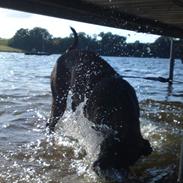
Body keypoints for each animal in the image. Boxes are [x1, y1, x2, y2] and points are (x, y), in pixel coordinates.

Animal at [46, 27, 152, 179]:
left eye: (127, 164)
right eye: (106, 150)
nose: (98, 167)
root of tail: (68, 52)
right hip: (59, 99)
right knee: (51, 122)